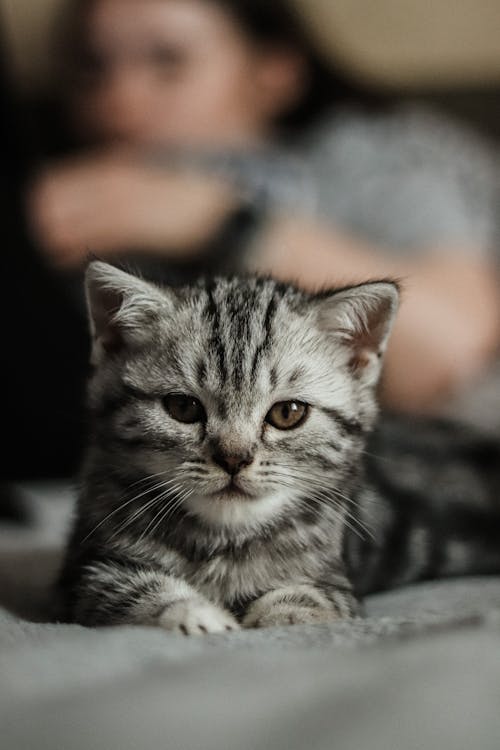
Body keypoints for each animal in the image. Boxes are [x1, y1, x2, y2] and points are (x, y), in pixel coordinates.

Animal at [55, 264, 500, 636]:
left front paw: (280, 615)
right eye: (183, 407)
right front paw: (196, 615)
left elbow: (314, 596)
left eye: (288, 413)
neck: (225, 542)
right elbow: (127, 590)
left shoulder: (337, 583)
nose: (233, 458)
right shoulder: (83, 574)